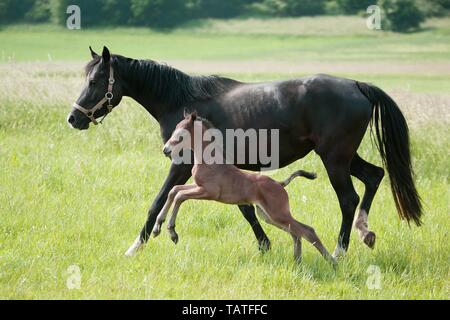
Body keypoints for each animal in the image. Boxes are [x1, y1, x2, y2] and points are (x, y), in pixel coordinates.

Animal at [150, 112, 334, 264]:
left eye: (181, 135)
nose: (166, 150)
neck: (209, 162)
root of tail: (280, 184)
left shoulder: (208, 192)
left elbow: (180, 196)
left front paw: (172, 232)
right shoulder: (197, 186)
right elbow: (174, 190)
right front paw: (158, 228)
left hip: (277, 213)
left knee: (307, 231)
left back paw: (332, 262)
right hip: (267, 215)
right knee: (296, 232)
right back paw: (297, 261)